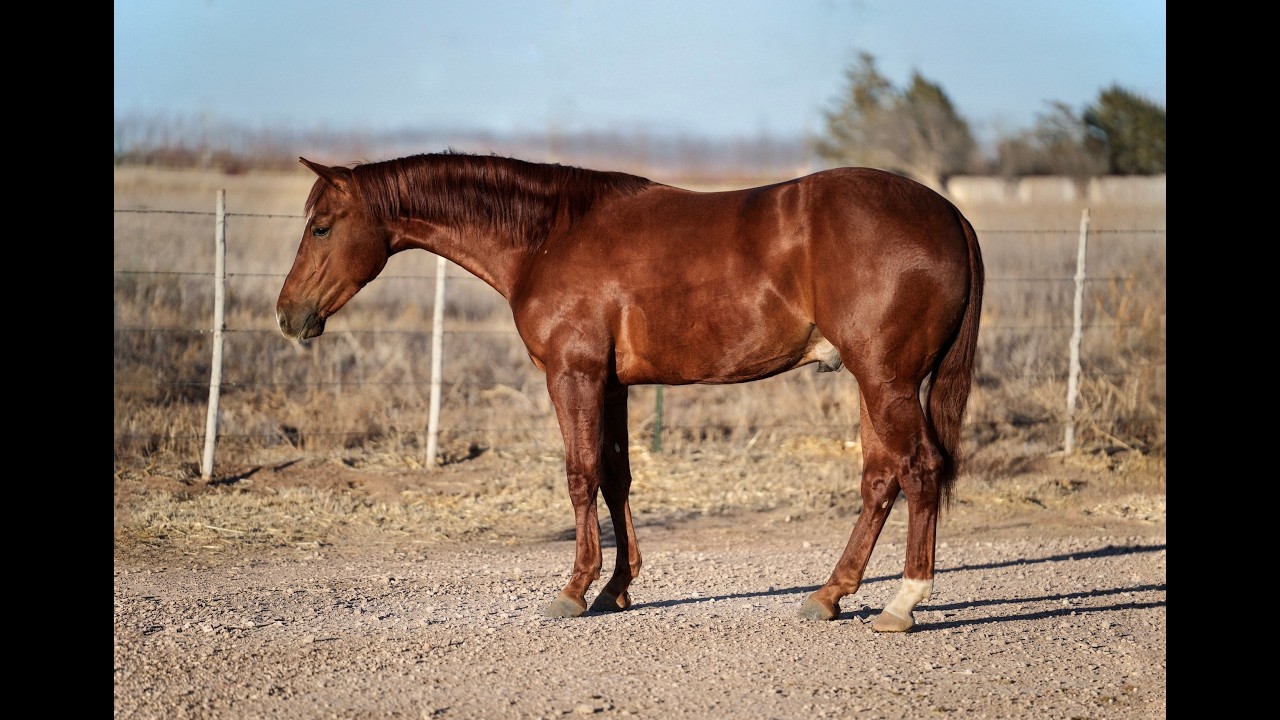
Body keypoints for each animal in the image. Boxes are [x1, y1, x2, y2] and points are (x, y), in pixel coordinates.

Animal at [276, 151, 985, 632]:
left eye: (322, 227)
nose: (289, 316)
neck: (550, 236)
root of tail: (949, 213)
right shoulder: (613, 386)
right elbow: (616, 478)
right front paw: (616, 588)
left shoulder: (574, 375)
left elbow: (581, 475)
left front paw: (573, 590)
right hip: (873, 383)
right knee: (881, 478)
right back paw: (830, 594)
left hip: (886, 380)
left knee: (919, 469)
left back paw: (903, 602)